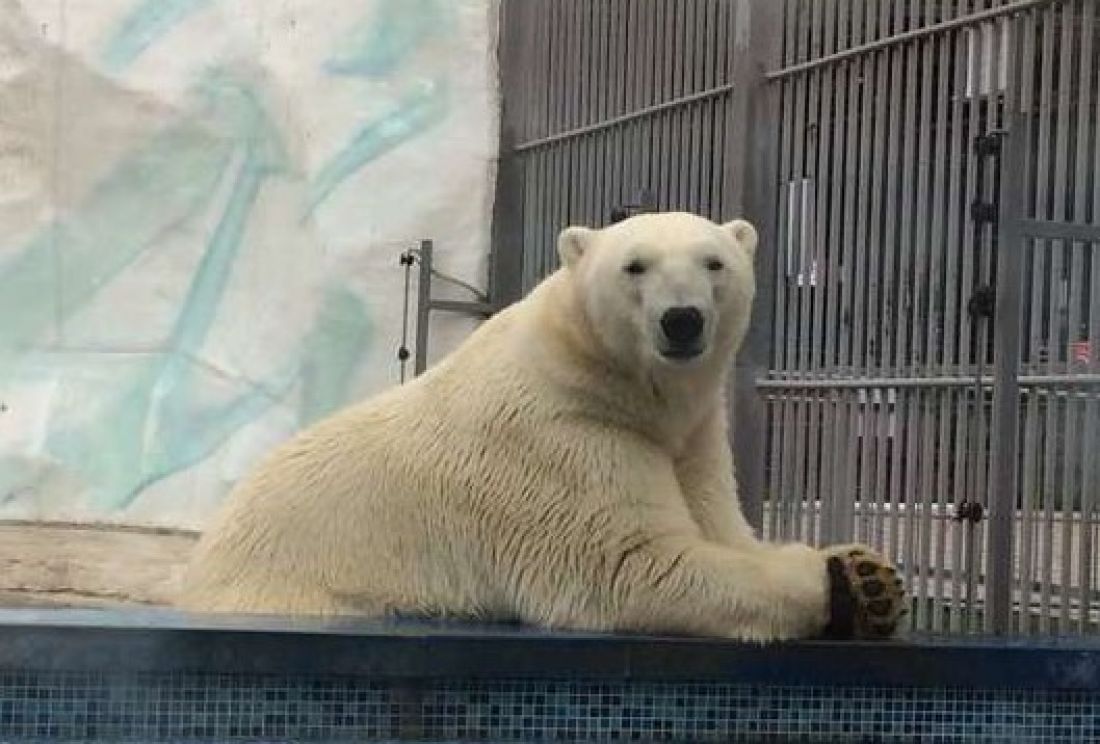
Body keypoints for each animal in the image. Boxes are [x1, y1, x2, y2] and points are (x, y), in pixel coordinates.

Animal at [178, 212, 902, 642]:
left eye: (714, 262)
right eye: (635, 265)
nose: (682, 319)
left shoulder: (692, 437)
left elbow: (725, 528)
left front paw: (869, 574)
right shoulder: (563, 440)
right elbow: (638, 564)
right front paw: (836, 585)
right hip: (308, 588)